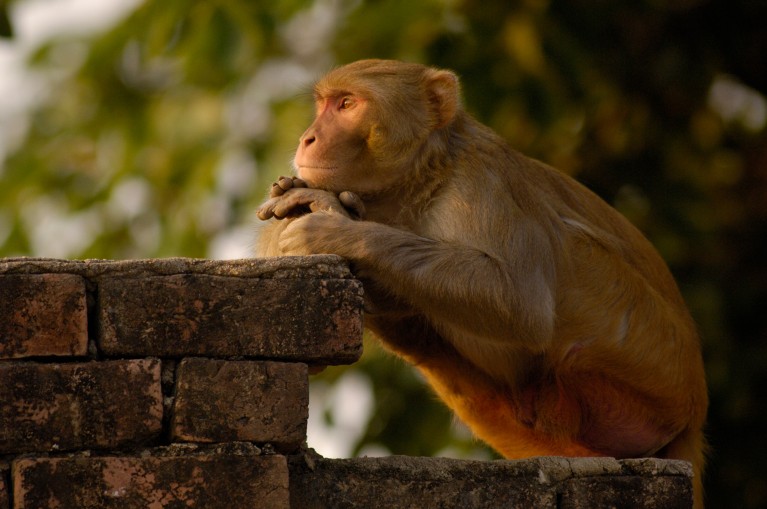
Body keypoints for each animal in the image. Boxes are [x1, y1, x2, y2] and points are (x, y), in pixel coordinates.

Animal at [255, 59, 708, 507]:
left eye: (347, 104)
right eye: (323, 106)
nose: (307, 137)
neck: (424, 177)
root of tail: (693, 412)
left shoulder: (481, 182)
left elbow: (521, 303)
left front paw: (333, 224)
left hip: (648, 365)